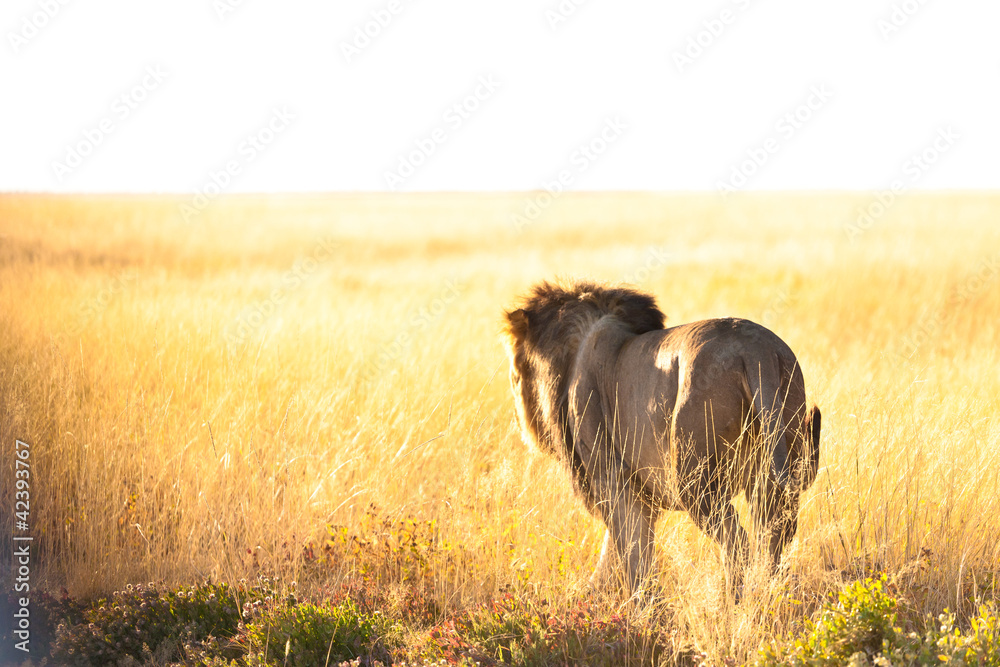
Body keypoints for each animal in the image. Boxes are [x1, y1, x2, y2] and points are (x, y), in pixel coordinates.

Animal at [502, 280, 821, 595]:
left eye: (515, 374)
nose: (517, 420)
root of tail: (755, 351)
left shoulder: (613, 480)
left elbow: (634, 553)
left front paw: (637, 603)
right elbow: (618, 550)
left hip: (694, 481)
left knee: (737, 541)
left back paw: (734, 599)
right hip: (775, 464)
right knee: (773, 538)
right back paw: (766, 595)